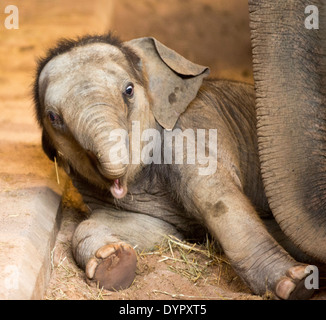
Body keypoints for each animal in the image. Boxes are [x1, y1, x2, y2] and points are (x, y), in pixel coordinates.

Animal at [33, 33, 314, 298]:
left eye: (129, 90)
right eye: (53, 117)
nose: (117, 186)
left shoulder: (190, 132)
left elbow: (216, 198)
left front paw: (296, 284)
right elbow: (147, 227)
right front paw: (113, 261)